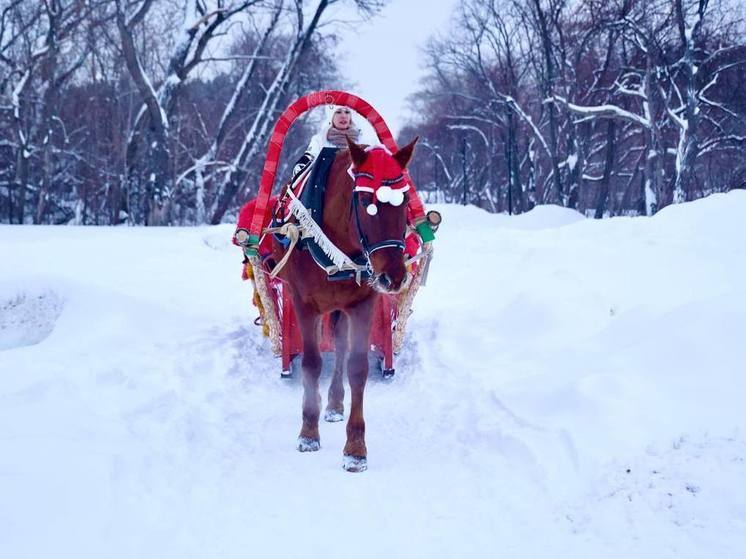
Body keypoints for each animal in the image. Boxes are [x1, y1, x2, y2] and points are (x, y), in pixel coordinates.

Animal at [268, 137, 418, 472]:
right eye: (364, 201)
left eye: (404, 201)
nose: (394, 277)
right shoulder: (304, 304)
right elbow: (311, 364)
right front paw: (308, 432)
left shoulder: (363, 303)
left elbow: (357, 367)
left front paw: (355, 448)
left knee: (339, 346)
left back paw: (336, 402)